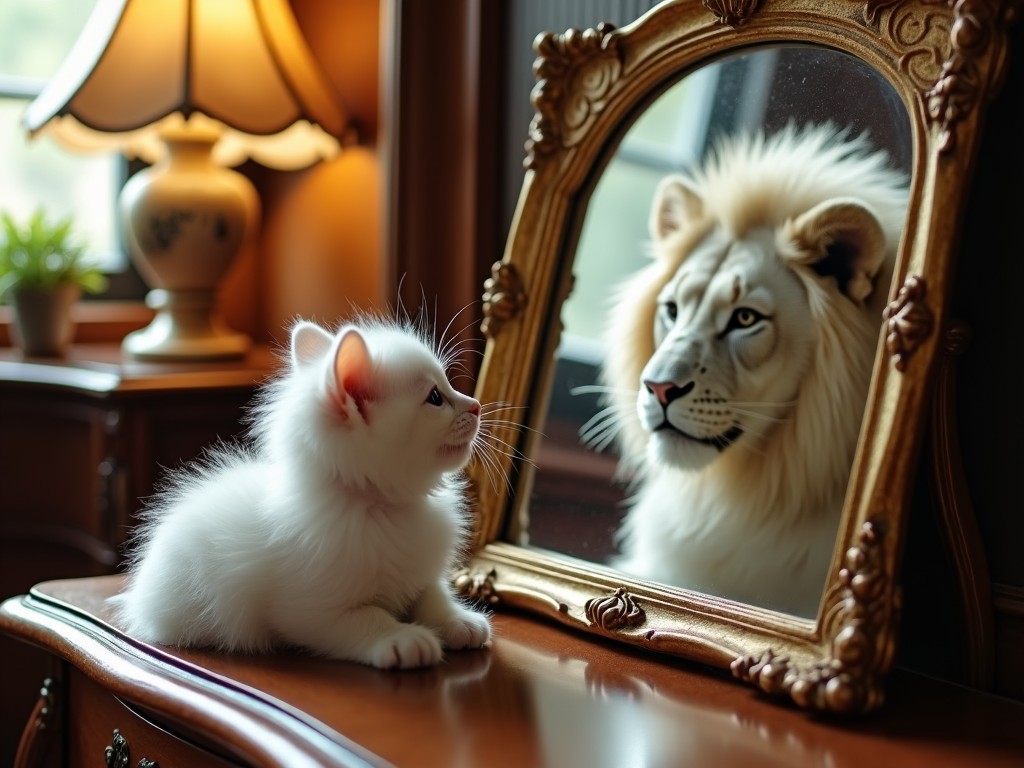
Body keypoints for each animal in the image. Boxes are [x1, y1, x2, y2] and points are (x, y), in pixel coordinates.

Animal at [111, 315, 491, 671]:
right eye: (435, 398)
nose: (475, 405)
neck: (382, 508)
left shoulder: (421, 574)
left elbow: (433, 594)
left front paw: (458, 619)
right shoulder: (308, 610)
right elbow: (365, 618)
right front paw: (402, 638)